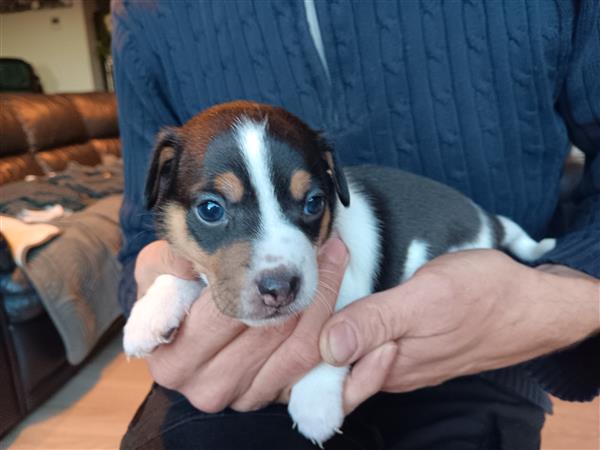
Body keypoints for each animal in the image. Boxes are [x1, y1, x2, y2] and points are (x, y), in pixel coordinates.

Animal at [123, 100, 556, 444]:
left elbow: (326, 333)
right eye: (211, 210)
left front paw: (314, 401)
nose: (280, 287)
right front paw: (150, 312)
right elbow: (191, 275)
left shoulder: (347, 287)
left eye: (314, 202)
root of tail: (488, 220)